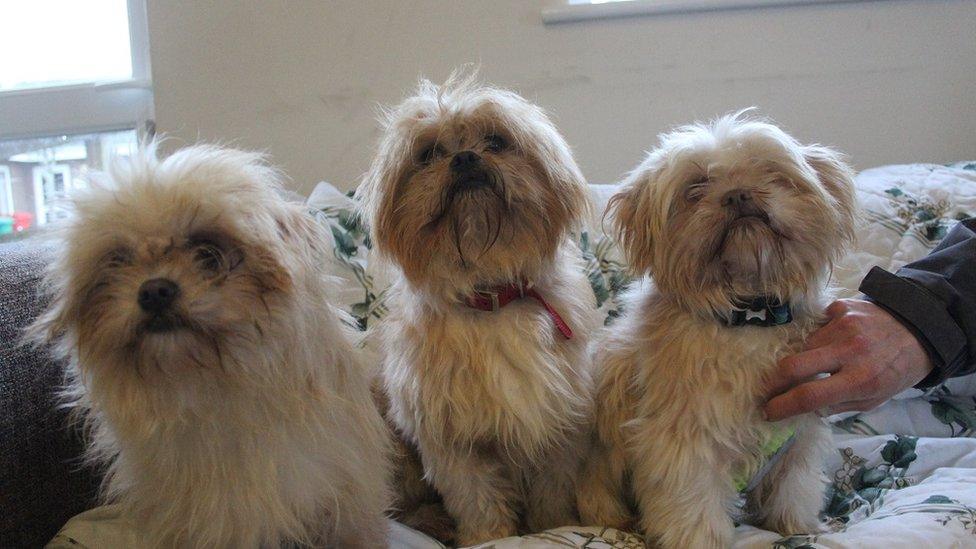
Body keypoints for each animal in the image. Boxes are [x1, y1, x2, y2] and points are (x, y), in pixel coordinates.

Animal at [358, 73, 604, 544]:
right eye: (428, 154)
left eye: (496, 141)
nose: (465, 158)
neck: (491, 297)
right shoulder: (456, 445)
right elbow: (478, 501)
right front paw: (486, 538)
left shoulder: (556, 429)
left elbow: (551, 499)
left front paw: (552, 530)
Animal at [580, 113, 856, 544]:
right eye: (695, 189)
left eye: (769, 171)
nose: (738, 195)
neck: (749, 318)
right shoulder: (683, 444)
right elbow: (693, 508)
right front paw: (701, 542)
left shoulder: (797, 437)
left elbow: (794, 487)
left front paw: (794, 528)